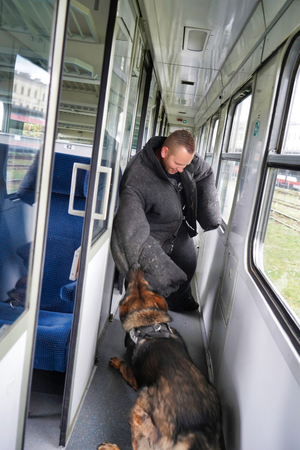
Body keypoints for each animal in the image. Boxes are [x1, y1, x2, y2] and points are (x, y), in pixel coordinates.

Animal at [98, 268, 220, 450]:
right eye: (145, 283)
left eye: (130, 286)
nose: (136, 267)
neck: (150, 322)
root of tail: (195, 433)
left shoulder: (134, 378)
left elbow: (125, 365)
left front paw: (117, 362)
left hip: (139, 410)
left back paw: (110, 447)